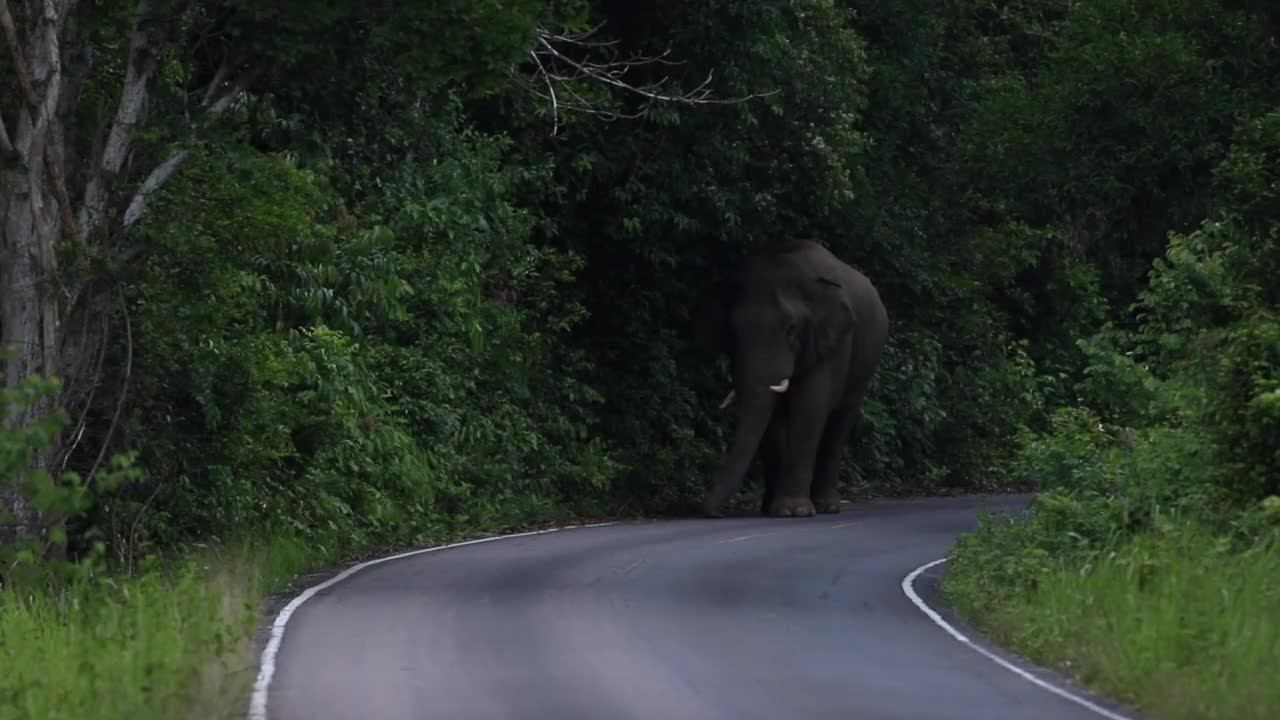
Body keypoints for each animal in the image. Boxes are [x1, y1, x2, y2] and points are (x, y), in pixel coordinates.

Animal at [691, 239, 890, 515]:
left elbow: (810, 407)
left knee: (839, 424)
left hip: (865, 367)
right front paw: (777, 510)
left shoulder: (833, 342)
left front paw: (796, 511)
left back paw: (827, 506)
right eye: (733, 332)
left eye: (791, 330)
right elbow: (771, 419)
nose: (710, 510)